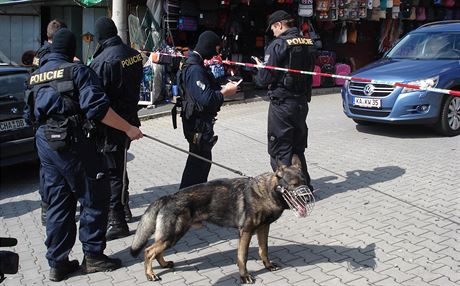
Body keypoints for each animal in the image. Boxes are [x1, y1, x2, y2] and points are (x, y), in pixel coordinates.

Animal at [130, 155, 310, 282]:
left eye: (305, 181)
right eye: (294, 185)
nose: (308, 198)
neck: (266, 192)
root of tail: (167, 197)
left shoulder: (263, 228)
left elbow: (263, 250)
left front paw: (268, 266)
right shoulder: (246, 232)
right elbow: (242, 256)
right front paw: (245, 276)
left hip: (170, 236)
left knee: (156, 251)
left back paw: (164, 264)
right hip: (173, 235)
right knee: (148, 251)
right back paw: (150, 274)